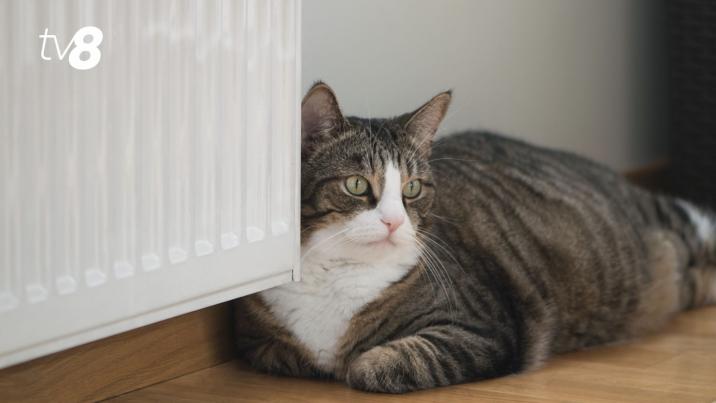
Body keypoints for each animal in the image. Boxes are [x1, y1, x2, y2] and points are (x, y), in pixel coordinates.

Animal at [234, 82, 716, 393]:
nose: (394, 222)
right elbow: (285, 353)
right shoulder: (259, 341)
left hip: (668, 224)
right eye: (356, 185)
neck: (339, 273)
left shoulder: (483, 329)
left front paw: (357, 361)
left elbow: (379, 363)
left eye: (412, 188)